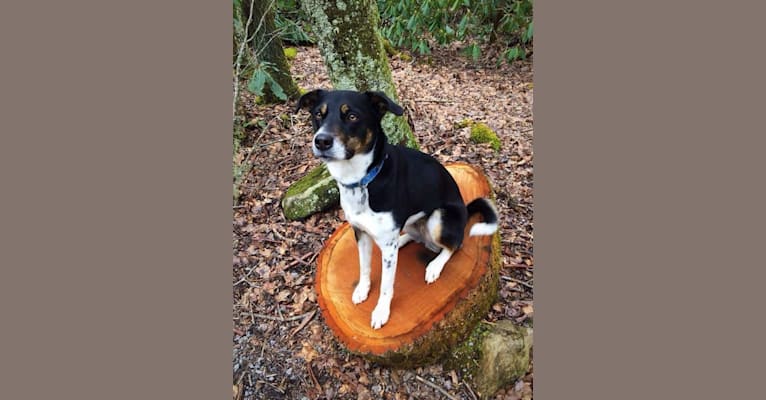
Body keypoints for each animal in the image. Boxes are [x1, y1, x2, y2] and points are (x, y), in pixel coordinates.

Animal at [296, 89, 500, 330]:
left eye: (352, 116)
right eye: (318, 114)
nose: (321, 141)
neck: (362, 180)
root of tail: (465, 211)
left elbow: (386, 285)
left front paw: (381, 311)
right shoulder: (360, 232)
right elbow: (364, 267)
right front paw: (362, 290)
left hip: (439, 219)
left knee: (454, 245)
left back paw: (434, 265)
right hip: (411, 225)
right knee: (412, 237)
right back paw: (402, 241)